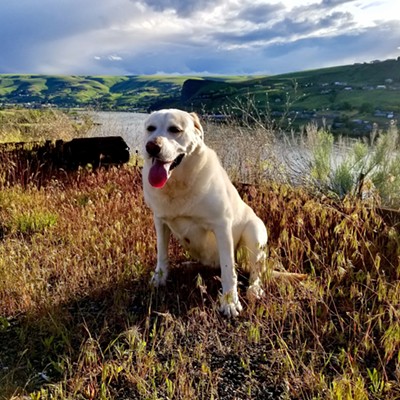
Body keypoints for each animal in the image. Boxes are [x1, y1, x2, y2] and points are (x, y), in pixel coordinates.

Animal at [142, 108, 268, 318]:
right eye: (150, 128)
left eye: (175, 129)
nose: (151, 146)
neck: (178, 184)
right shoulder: (159, 221)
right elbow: (162, 254)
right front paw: (159, 278)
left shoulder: (222, 226)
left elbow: (228, 270)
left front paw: (229, 302)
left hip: (255, 233)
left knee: (254, 270)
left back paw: (254, 289)